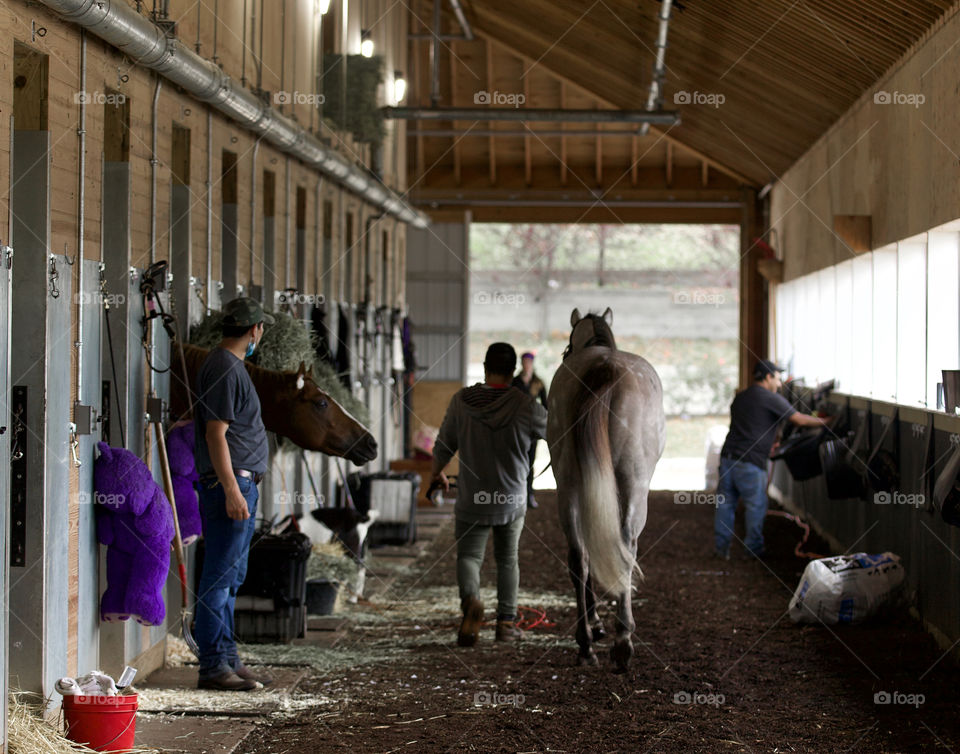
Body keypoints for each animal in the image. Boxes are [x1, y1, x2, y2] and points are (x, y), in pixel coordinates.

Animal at [544, 306, 664, 668]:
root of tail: (605, 367)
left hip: (569, 485)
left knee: (578, 556)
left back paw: (588, 642)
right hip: (634, 485)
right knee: (624, 547)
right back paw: (618, 640)